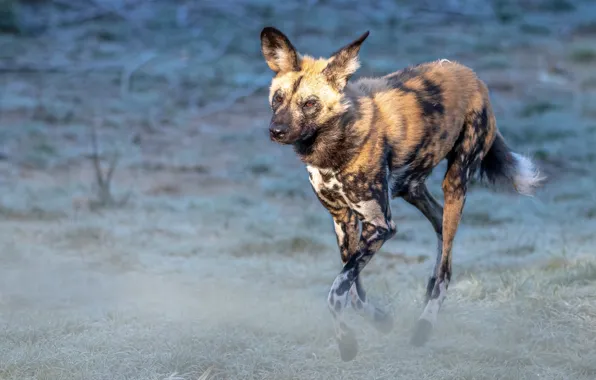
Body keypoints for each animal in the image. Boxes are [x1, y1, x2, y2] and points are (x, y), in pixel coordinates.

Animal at [260, 27, 544, 362]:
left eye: (309, 104)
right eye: (278, 98)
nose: (276, 131)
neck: (332, 145)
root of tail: (468, 73)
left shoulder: (381, 226)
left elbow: (337, 290)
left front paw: (346, 343)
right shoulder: (343, 221)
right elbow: (353, 288)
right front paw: (379, 322)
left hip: (455, 183)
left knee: (446, 269)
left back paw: (424, 326)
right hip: (413, 188)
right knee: (440, 235)